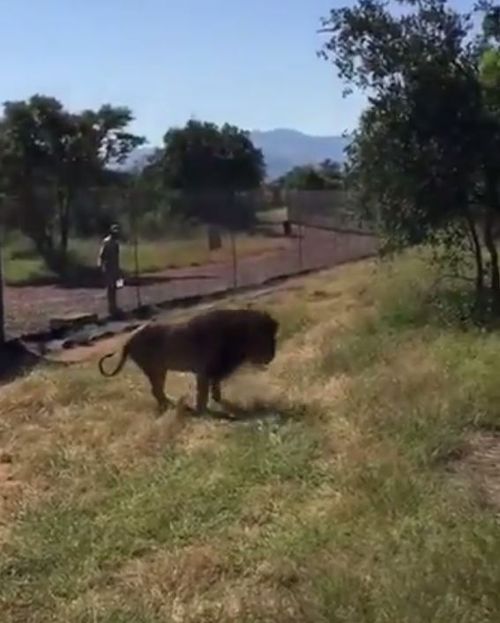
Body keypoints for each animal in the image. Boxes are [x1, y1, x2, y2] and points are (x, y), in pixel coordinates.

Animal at [96, 308, 280, 414]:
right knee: (156, 390)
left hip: (159, 370)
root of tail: (128, 340)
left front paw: (218, 401)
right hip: (155, 369)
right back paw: (173, 406)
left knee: (157, 391)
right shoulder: (203, 371)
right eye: (263, 335)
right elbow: (202, 393)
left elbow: (215, 387)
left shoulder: (215, 371)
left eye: (273, 335)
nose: (271, 356)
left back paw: (171, 406)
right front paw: (202, 411)